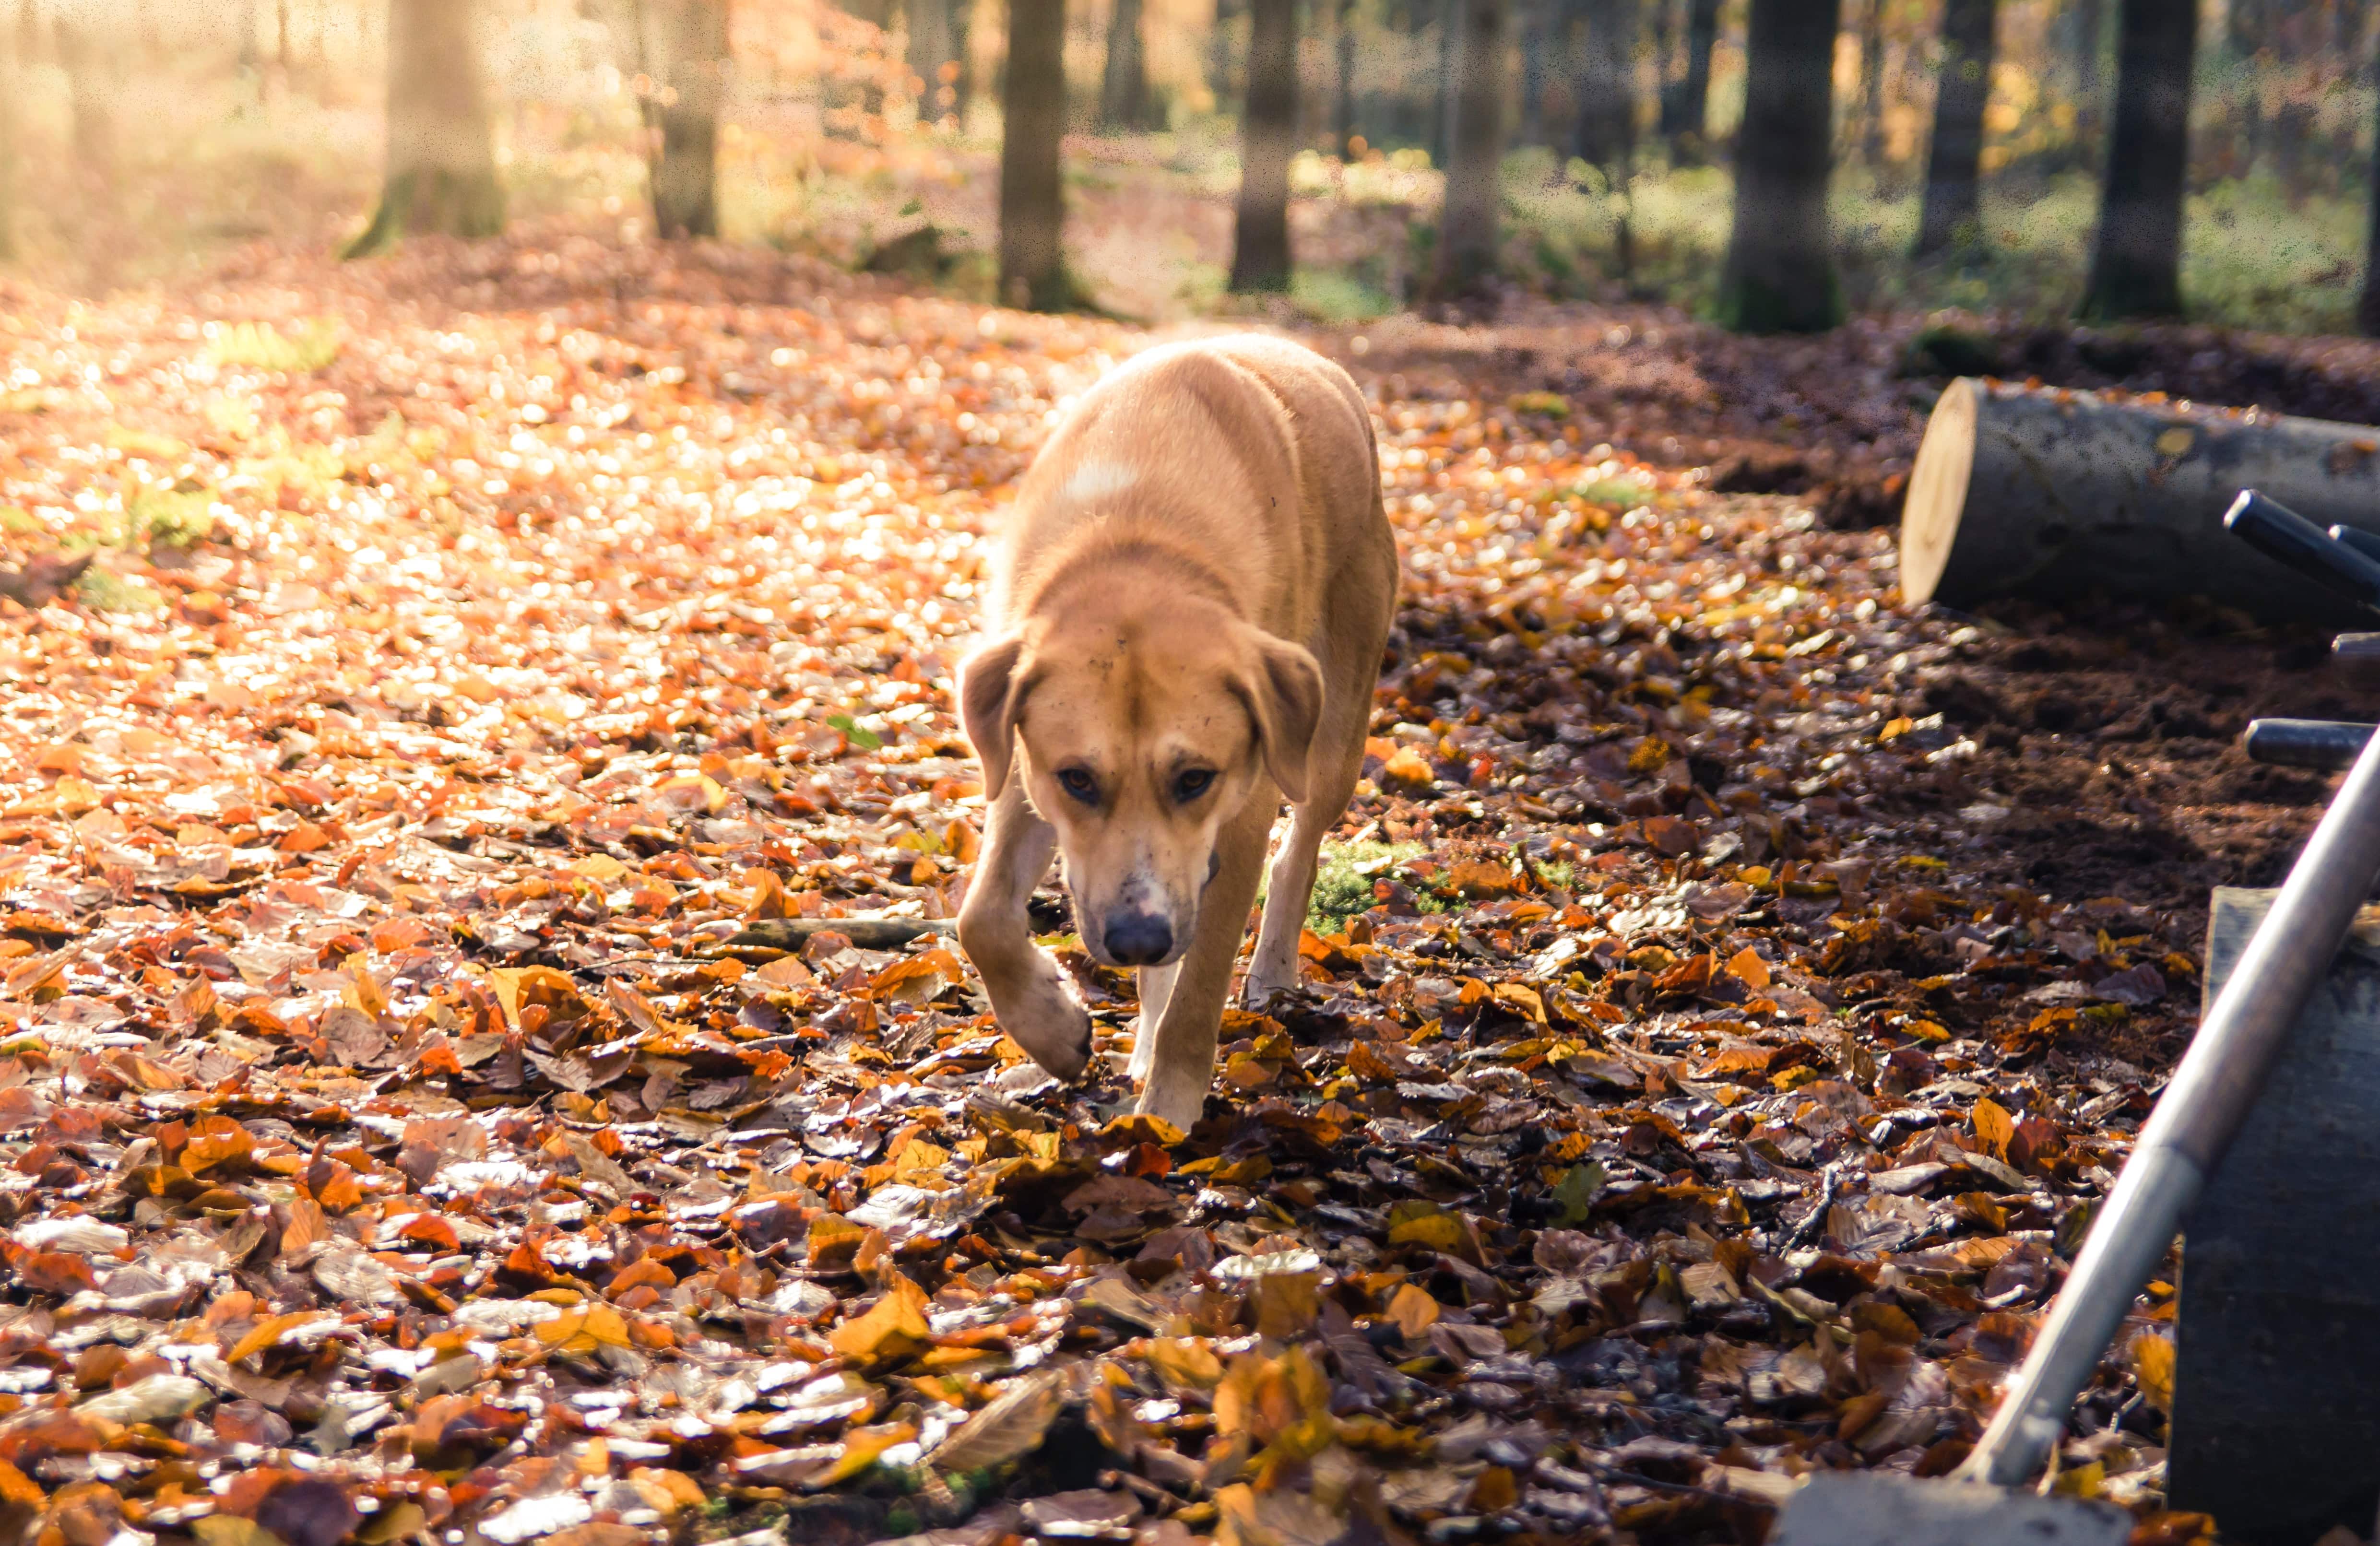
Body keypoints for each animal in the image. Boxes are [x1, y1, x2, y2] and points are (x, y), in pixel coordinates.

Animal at [952, 330, 1390, 1127]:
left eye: (1195, 778)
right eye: (1078, 778)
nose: (1136, 937)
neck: (1138, 532)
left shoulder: (1240, 813)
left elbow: (1200, 985)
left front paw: (1168, 1112)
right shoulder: (1022, 769)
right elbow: (983, 919)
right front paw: (1053, 1029)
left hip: (1336, 723)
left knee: (1301, 845)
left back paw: (1270, 967)